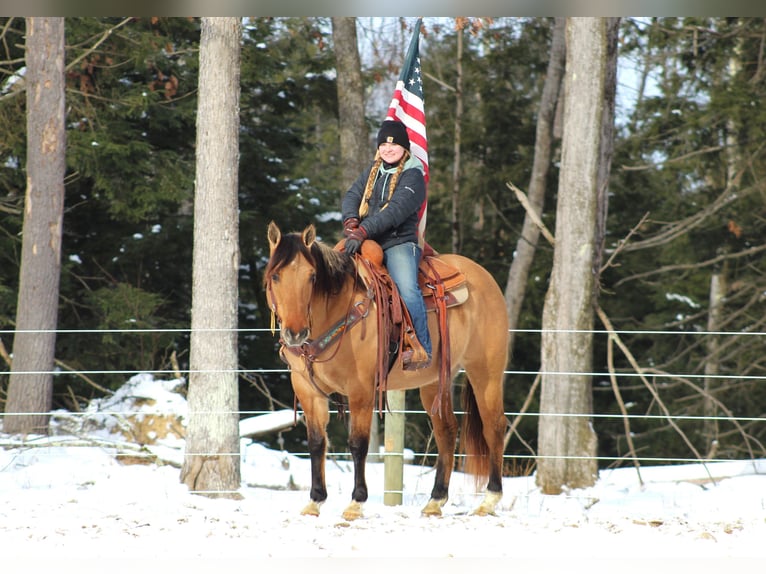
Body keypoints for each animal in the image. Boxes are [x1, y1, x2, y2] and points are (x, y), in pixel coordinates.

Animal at [264, 224, 510, 520]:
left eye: (312, 276)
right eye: (275, 275)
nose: (295, 332)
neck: (337, 311)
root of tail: (485, 278)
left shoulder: (361, 389)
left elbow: (358, 443)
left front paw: (356, 503)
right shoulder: (307, 389)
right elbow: (316, 442)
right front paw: (315, 501)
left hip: (486, 372)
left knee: (494, 426)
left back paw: (489, 499)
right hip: (435, 381)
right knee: (447, 430)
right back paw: (435, 500)